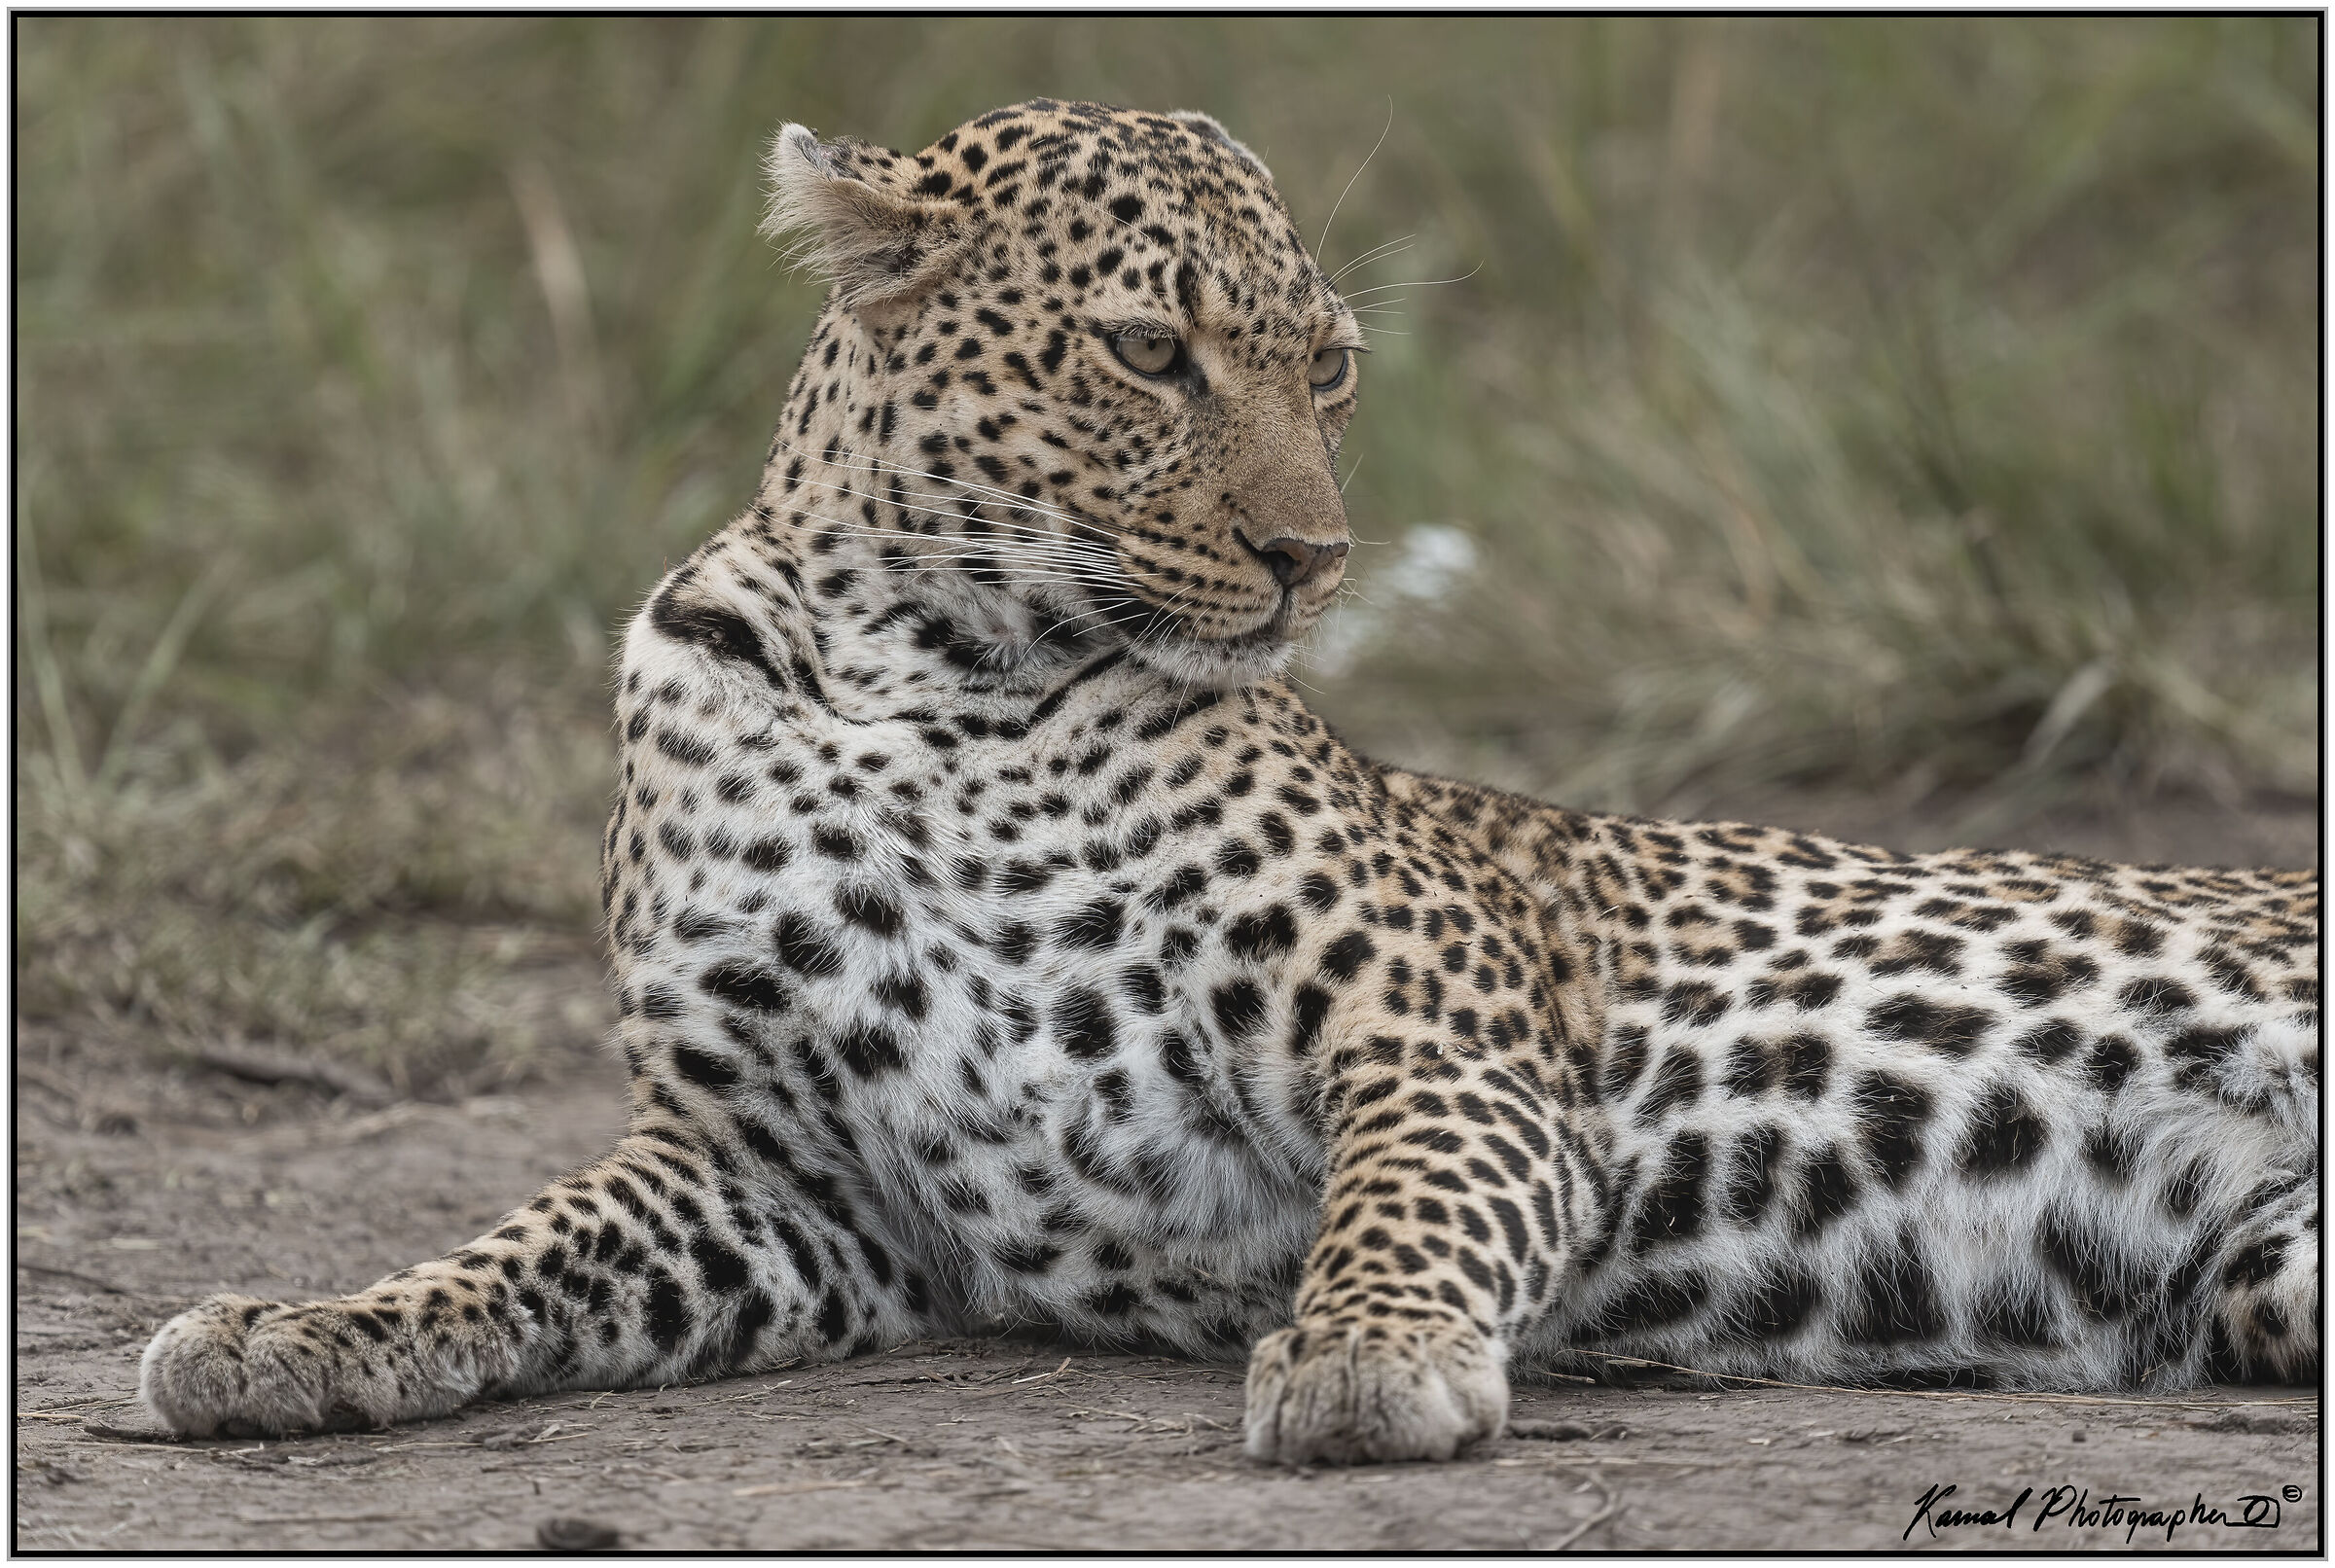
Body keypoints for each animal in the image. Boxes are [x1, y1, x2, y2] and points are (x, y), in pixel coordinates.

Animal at [139, 98, 2320, 1466]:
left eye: (1327, 366)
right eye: (1144, 351)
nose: (1315, 558)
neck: (929, 678)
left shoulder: (1439, 1031)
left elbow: (1406, 1202)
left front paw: (1363, 1362)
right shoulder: (780, 1180)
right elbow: (505, 1253)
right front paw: (288, 1332)